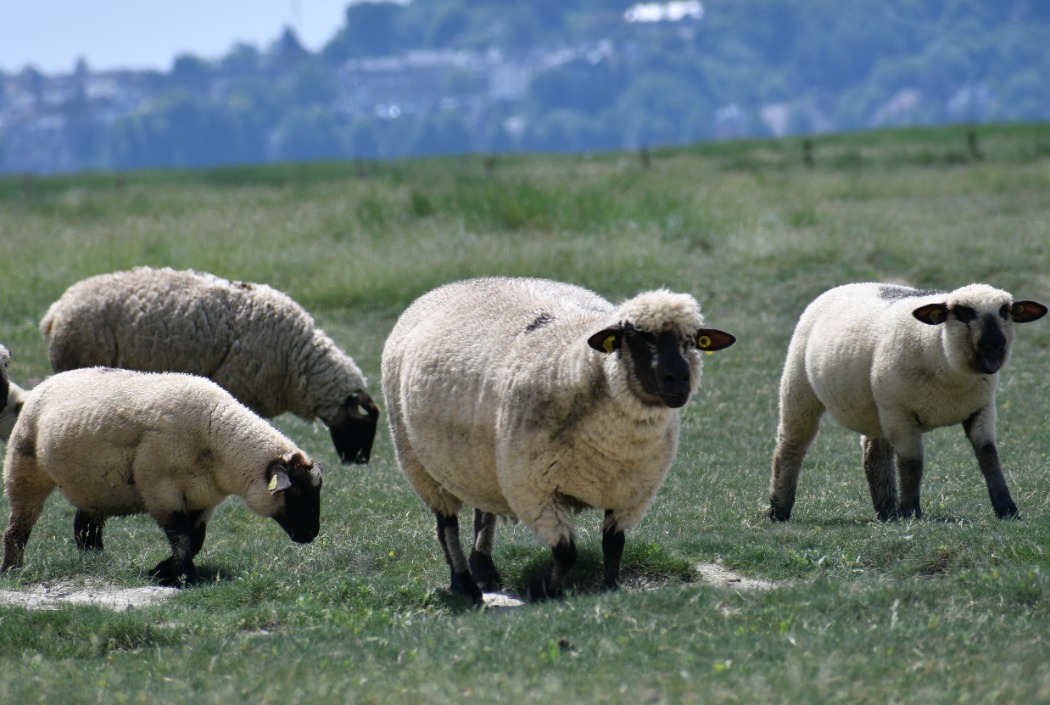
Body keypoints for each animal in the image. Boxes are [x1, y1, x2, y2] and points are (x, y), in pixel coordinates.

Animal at [1, 367, 323, 588]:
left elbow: (195, 540)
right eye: (294, 493)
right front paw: (185, 578)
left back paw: (97, 561)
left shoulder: (202, 499)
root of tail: (49, 380)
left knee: (86, 528)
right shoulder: (161, 491)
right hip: (24, 466)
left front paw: (162, 572)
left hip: (95, 485)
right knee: (18, 527)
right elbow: (181, 538)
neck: (218, 442)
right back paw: (12, 569)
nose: (311, 534)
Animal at [768, 283, 1045, 523]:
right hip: (799, 388)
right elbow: (912, 464)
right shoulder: (901, 415)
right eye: (963, 314)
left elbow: (989, 457)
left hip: (876, 410)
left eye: (1005, 312)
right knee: (791, 447)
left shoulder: (982, 409)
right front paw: (912, 512)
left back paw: (887, 511)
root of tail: (846, 285)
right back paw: (778, 510)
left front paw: (1007, 509)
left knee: (874, 453)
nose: (995, 346)